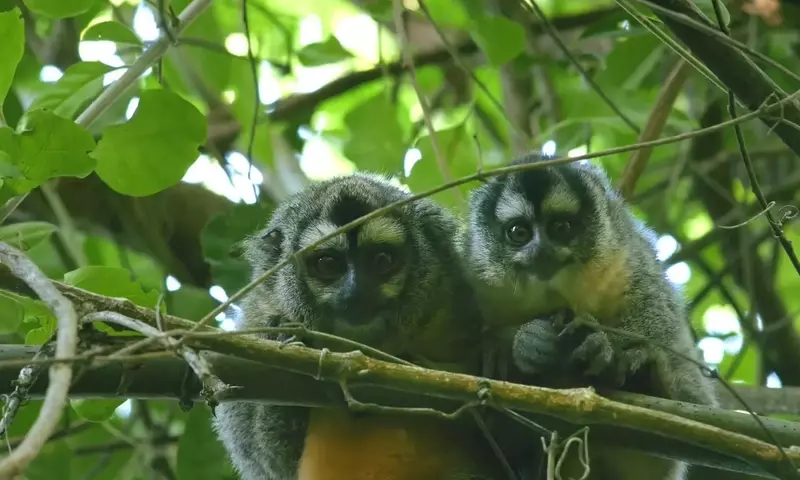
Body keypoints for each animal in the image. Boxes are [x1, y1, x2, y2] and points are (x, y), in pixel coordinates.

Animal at [214, 173, 508, 480]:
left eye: (382, 260)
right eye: (328, 264)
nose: (355, 292)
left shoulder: (457, 300)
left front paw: (491, 352)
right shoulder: (256, 318)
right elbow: (263, 457)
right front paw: (284, 337)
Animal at [456, 152, 718, 480]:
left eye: (561, 227)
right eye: (519, 232)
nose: (541, 250)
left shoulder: (625, 252)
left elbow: (656, 306)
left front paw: (605, 347)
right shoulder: (475, 273)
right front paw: (522, 343)